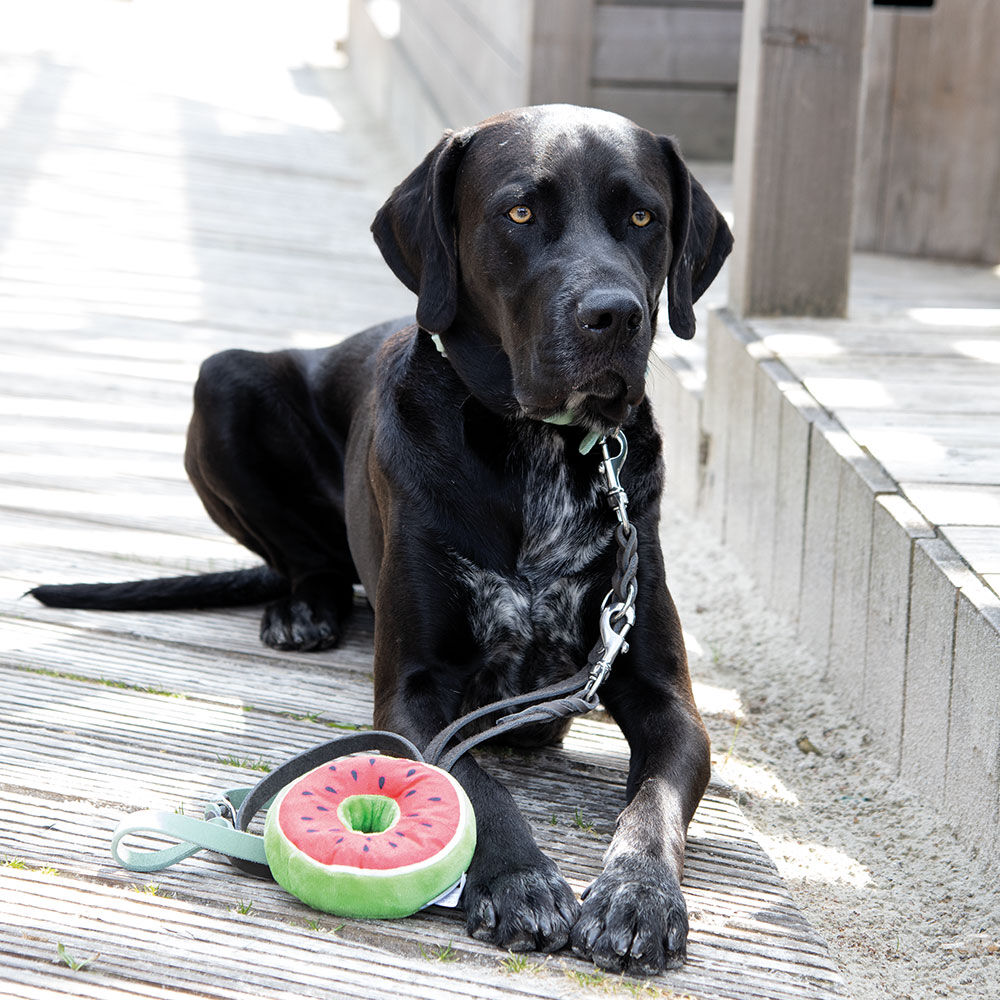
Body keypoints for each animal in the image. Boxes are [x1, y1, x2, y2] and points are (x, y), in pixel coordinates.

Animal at [33, 105, 736, 972]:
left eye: (644, 218)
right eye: (519, 212)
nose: (614, 315)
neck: (539, 450)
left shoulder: (666, 699)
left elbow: (653, 801)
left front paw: (638, 895)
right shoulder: (413, 689)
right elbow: (476, 783)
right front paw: (519, 878)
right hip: (223, 378)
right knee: (307, 557)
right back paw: (304, 609)